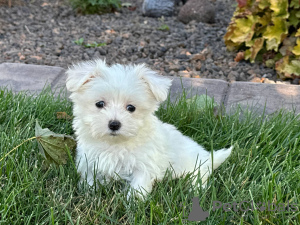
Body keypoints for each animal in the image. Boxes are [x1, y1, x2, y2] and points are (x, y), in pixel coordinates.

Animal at [67, 59, 233, 198]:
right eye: (100, 104)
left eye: (131, 108)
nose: (114, 124)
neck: (115, 144)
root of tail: (208, 157)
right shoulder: (91, 161)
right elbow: (91, 178)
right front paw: (89, 191)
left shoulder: (144, 165)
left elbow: (138, 186)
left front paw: (133, 204)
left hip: (195, 166)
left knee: (199, 177)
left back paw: (194, 190)